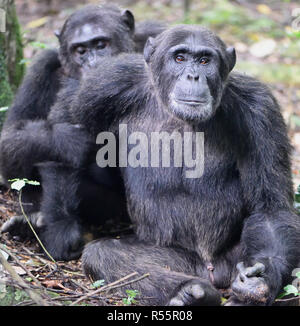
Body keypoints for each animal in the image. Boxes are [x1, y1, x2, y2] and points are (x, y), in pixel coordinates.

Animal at [0, 3, 164, 260]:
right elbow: (9, 140)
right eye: (80, 51)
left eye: (101, 44)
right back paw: (30, 223)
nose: (93, 63)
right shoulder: (41, 67)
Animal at [56, 25, 300, 306]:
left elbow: (270, 208)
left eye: (205, 60)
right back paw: (188, 292)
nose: (193, 76)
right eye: (180, 58)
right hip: (177, 259)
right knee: (105, 253)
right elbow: (62, 135)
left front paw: (261, 279)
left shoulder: (261, 110)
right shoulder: (103, 86)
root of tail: (211, 270)